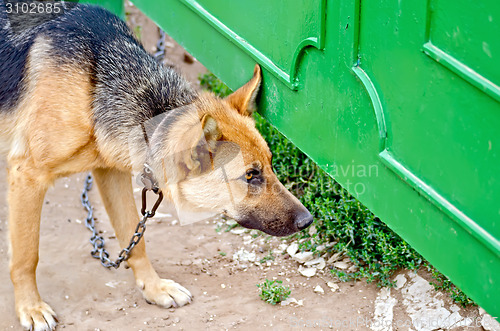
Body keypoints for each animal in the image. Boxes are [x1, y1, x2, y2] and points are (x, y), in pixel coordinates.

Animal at [0, 1, 312, 330]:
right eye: (250, 175)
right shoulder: (27, 176)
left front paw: (154, 287)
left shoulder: (109, 173)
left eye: (271, 165)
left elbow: (135, 241)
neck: (97, 83)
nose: (308, 221)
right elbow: (26, 256)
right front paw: (30, 307)